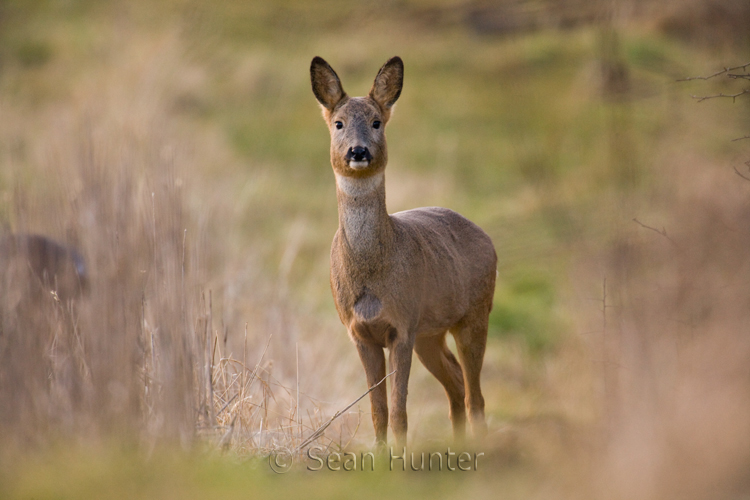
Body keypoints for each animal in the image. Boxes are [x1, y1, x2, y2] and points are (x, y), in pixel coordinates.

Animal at [312, 56, 500, 448]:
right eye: (338, 123)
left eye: (376, 121)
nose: (358, 151)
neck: (371, 276)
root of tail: (486, 237)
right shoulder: (359, 332)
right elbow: (378, 412)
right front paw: (381, 455)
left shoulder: (402, 325)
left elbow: (399, 412)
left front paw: (399, 456)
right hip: (430, 333)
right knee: (456, 382)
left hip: (474, 314)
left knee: (475, 393)